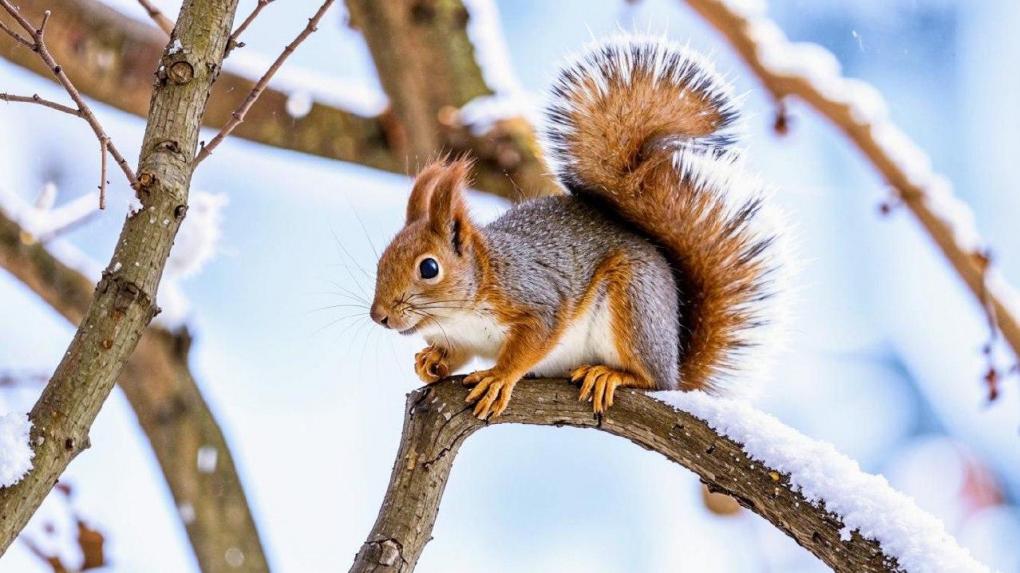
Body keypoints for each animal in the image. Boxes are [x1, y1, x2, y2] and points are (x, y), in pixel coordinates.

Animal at [371, 36, 783, 420]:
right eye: (382, 260)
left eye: (429, 268)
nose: (379, 316)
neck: (461, 311)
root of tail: (675, 364)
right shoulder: (461, 338)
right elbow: (455, 354)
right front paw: (431, 362)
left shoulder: (536, 300)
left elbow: (530, 344)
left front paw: (499, 378)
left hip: (634, 305)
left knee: (651, 379)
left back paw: (612, 375)